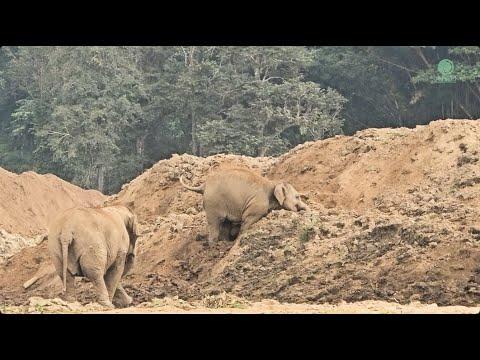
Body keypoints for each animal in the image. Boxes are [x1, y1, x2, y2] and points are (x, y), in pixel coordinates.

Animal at [179, 167, 308, 243]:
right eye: (297, 197)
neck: (273, 183)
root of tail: (204, 185)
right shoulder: (257, 205)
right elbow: (247, 220)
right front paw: (240, 238)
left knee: (225, 224)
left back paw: (225, 243)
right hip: (213, 204)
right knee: (215, 223)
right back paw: (214, 246)